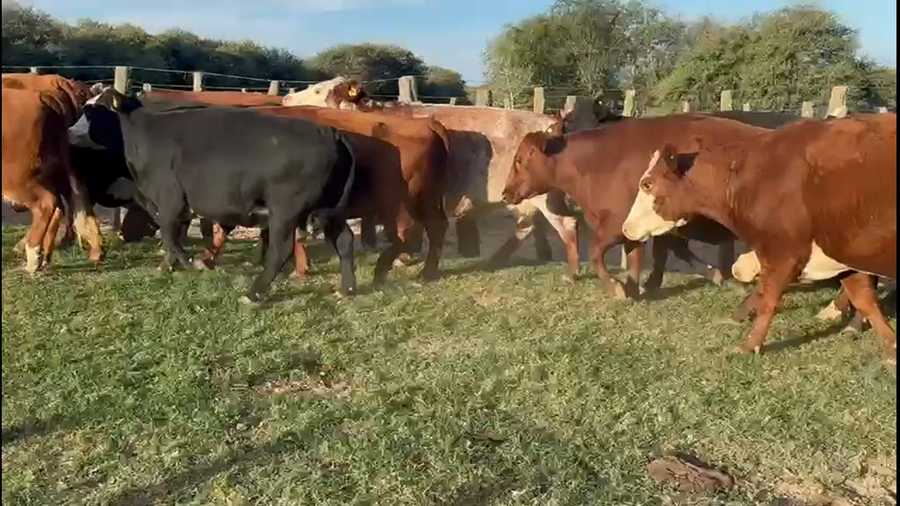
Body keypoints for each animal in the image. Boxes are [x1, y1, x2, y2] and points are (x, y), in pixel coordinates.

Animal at [81, 87, 360, 302]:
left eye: (95, 110)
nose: (75, 131)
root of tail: (331, 132)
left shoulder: (169, 199)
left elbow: (171, 238)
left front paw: (191, 263)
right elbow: (175, 237)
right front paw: (168, 265)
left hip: (285, 209)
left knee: (281, 249)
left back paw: (254, 294)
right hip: (328, 208)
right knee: (345, 240)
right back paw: (346, 289)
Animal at [501, 114, 777, 299]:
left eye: (519, 160)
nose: (505, 193)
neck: (597, 163)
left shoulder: (616, 224)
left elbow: (596, 252)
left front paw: (617, 287)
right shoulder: (637, 228)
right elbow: (649, 254)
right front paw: (636, 285)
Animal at [621, 113, 896, 363]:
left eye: (647, 184)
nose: (626, 227)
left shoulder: (783, 253)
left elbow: (768, 297)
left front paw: (749, 344)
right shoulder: (843, 255)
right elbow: (865, 300)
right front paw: (892, 347)